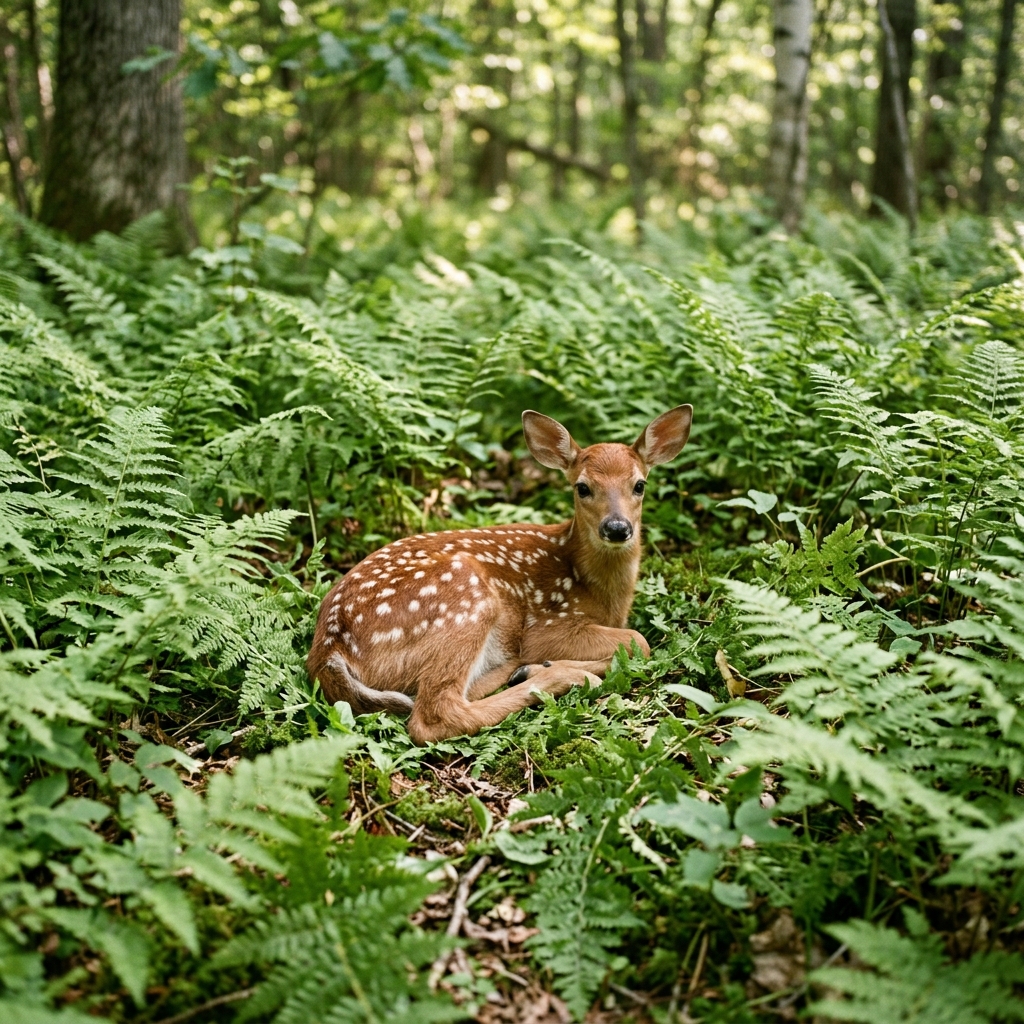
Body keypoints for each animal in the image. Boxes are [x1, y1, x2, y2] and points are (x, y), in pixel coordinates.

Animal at [307, 405, 693, 744]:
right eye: (582, 487)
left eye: (639, 485)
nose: (616, 527)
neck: (593, 586)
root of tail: (329, 649)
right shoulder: (547, 626)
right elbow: (639, 640)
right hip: (466, 598)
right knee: (434, 715)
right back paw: (559, 675)